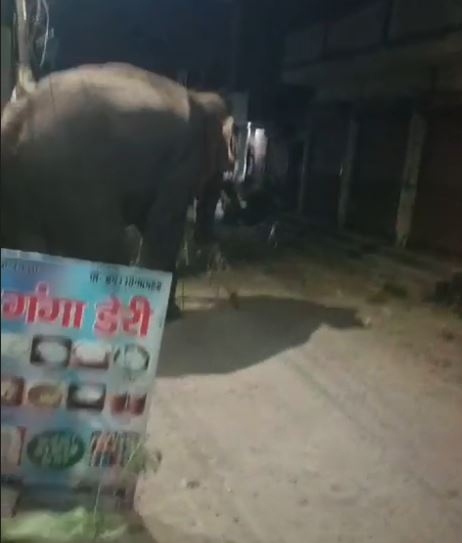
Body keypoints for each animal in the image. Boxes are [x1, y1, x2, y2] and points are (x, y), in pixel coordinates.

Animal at [1, 63, 235, 318]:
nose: (211, 241)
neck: (200, 96)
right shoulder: (182, 162)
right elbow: (163, 228)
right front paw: (170, 313)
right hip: (74, 177)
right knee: (105, 240)